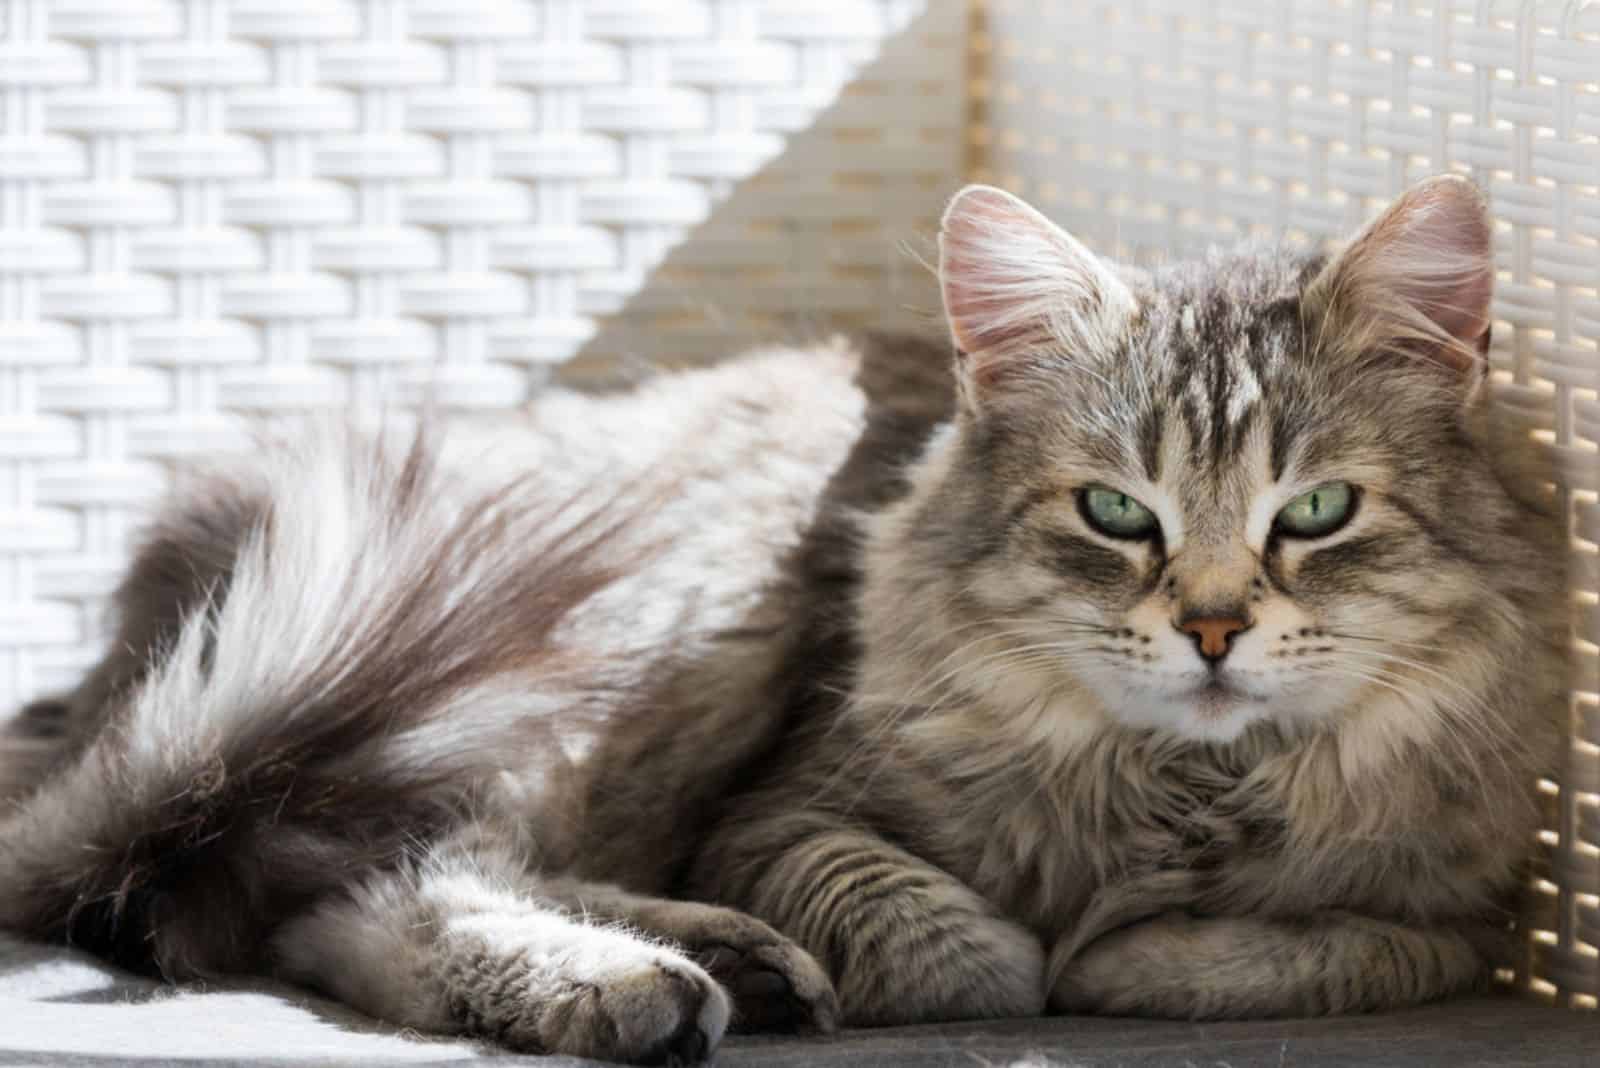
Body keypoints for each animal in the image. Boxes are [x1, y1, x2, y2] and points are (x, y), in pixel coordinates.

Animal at [0, 175, 1568, 1061]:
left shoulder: (1465, 904)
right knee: (370, 884)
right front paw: (1043, 958)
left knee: (320, 901)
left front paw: (1135, 952)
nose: (1215, 630)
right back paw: (651, 984)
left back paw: (722, 972)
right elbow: (959, 949)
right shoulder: (784, 805)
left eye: (1319, 513)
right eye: (1116, 515)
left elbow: (1333, 943)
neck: (1177, 787)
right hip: (640, 657)